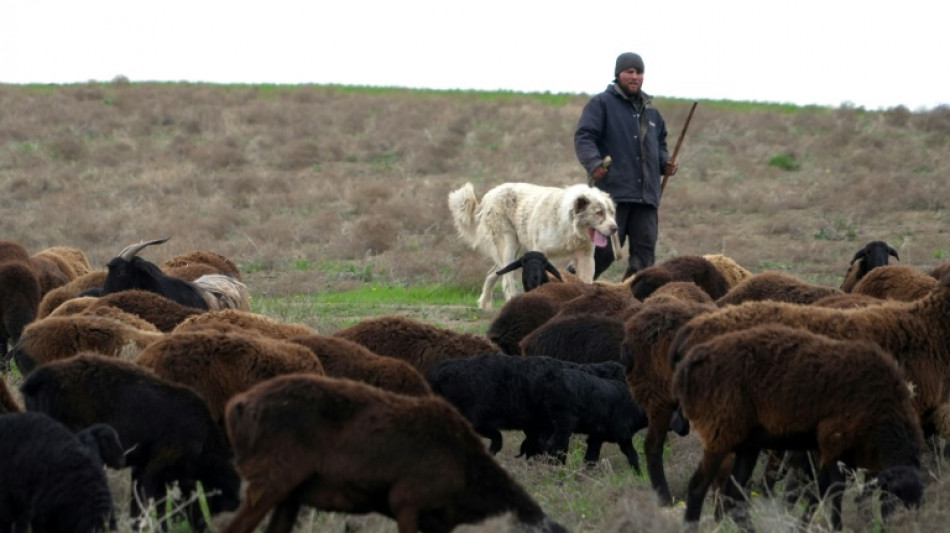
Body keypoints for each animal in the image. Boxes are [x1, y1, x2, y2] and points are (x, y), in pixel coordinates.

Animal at [19, 353, 241, 530]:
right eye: (234, 495)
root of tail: (35, 380)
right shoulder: (158, 466)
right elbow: (153, 501)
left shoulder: (148, 469)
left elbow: (152, 505)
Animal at [672, 324, 925, 530]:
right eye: (893, 495)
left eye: (916, 504)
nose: (900, 526)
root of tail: (692, 361)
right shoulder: (832, 439)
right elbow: (834, 488)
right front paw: (835, 526)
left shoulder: (841, 452)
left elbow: (819, 490)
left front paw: (802, 525)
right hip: (721, 432)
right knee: (697, 487)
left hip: (747, 443)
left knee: (732, 494)